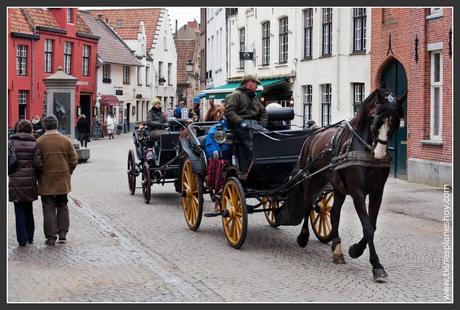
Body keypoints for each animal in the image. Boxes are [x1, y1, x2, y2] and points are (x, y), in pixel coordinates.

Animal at [296, 88, 404, 282]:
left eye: (396, 121)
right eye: (374, 118)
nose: (379, 153)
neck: (365, 148)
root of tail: (314, 132)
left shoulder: (377, 192)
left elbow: (372, 226)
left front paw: (355, 250)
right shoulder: (357, 193)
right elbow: (367, 227)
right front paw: (376, 265)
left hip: (337, 187)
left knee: (334, 214)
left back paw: (337, 250)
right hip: (310, 179)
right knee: (307, 206)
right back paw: (303, 237)